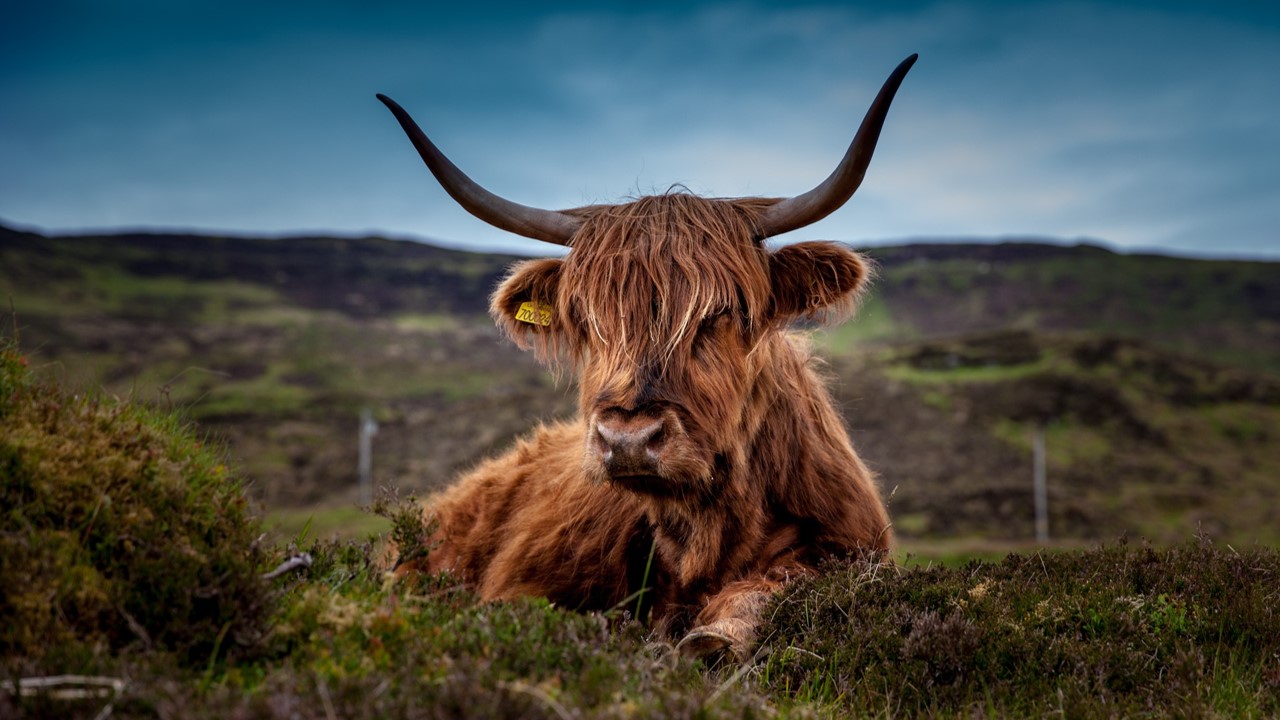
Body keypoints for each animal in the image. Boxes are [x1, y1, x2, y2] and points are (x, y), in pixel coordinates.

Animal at [373, 53, 916, 661]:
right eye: (587, 319)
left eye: (722, 312)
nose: (628, 439)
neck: (704, 533)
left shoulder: (848, 548)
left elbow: (775, 586)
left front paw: (714, 636)